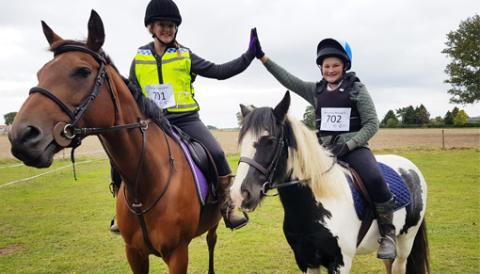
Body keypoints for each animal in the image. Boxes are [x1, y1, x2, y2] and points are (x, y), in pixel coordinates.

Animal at [7, 9, 221, 272]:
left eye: (82, 71)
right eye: (40, 73)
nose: (21, 136)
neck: (146, 183)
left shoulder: (178, 254)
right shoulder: (134, 253)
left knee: (212, 240)